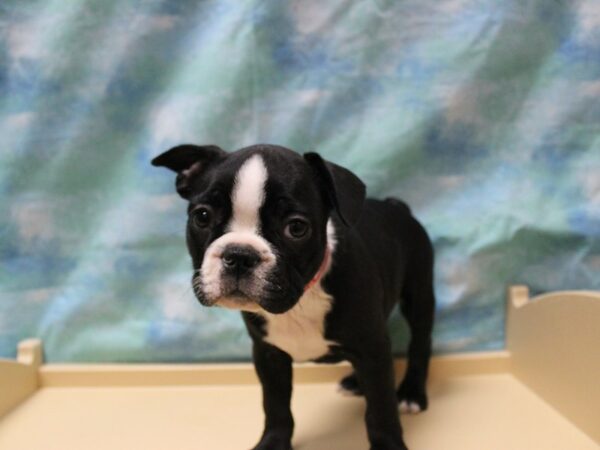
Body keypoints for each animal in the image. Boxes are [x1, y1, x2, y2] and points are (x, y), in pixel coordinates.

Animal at [152, 144, 434, 450]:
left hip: (419, 294)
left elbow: (381, 408)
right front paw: (272, 443)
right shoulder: (268, 354)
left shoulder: (372, 349)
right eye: (202, 217)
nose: (239, 255)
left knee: (420, 342)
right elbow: (275, 405)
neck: (302, 298)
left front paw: (387, 444)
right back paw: (355, 382)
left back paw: (411, 393)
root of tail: (395, 205)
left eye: (296, 228)